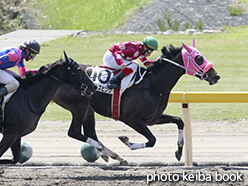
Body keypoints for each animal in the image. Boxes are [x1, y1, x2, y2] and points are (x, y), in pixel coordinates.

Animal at [53, 39, 220, 164]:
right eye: (199, 58)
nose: (216, 76)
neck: (152, 85)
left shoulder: (153, 118)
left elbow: (179, 121)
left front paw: (179, 150)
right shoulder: (131, 119)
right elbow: (152, 140)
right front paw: (127, 141)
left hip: (89, 109)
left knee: (90, 133)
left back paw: (112, 155)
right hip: (79, 106)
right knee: (75, 132)